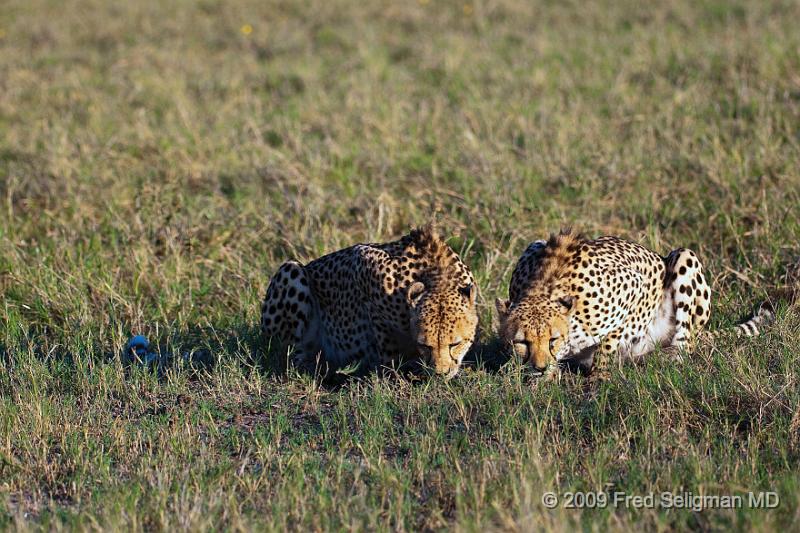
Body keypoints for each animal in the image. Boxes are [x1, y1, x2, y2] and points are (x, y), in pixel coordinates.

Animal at [260, 222, 478, 376]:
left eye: (455, 344)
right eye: (425, 345)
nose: (441, 373)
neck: (437, 276)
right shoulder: (362, 263)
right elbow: (386, 343)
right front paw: (392, 373)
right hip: (291, 270)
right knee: (289, 356)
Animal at [496, 229, 772, 378]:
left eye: (553, 339)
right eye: (522, 342)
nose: (540, 368)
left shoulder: (636, 284)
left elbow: (612, 337)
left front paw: (600, 373)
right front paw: (546, 376)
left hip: (684, 257)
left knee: (686, 345)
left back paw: (666, 356)